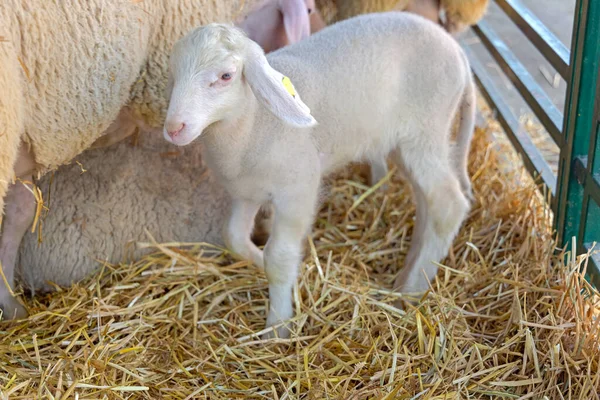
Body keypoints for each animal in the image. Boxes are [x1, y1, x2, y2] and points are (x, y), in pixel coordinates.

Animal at [162, 12, 476, 338]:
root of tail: (458, 53)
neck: (253, 124)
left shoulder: (298, 191)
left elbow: (279, 257)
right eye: (174, 71)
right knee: (427, 204)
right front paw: (261, 264)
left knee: (448, 205)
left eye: (226, 76)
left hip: (425, 132)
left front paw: (278, 326)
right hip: (406, 145)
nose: (174, 128)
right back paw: (408, 273)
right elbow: (234, 237)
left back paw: (411, 291)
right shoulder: (247, 191)